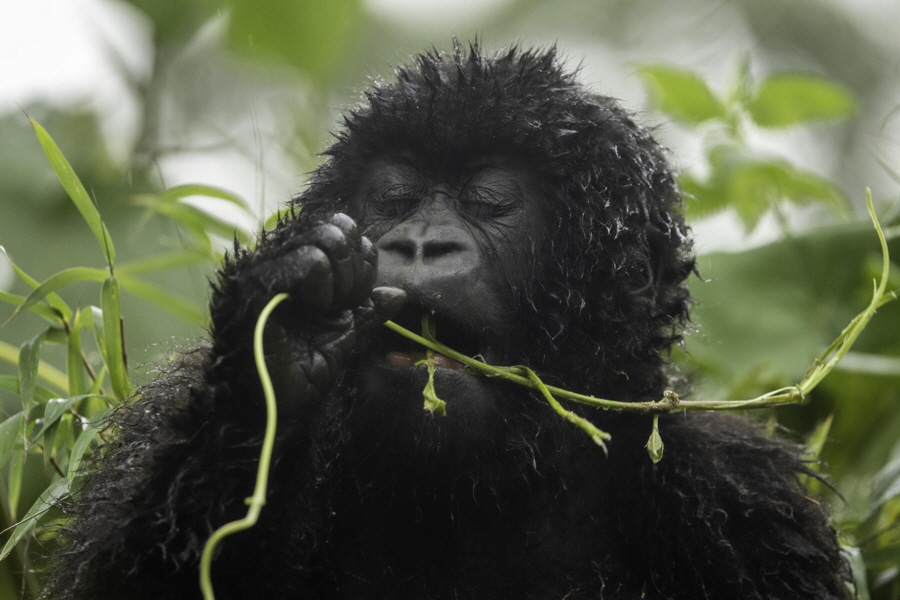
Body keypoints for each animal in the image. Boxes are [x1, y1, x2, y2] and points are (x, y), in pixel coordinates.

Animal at [47, 43, 852, 600]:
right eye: (396, 198)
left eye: (489, 201)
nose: (420, 244)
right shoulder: (157, 420)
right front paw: (277, 341)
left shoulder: (746, 502)